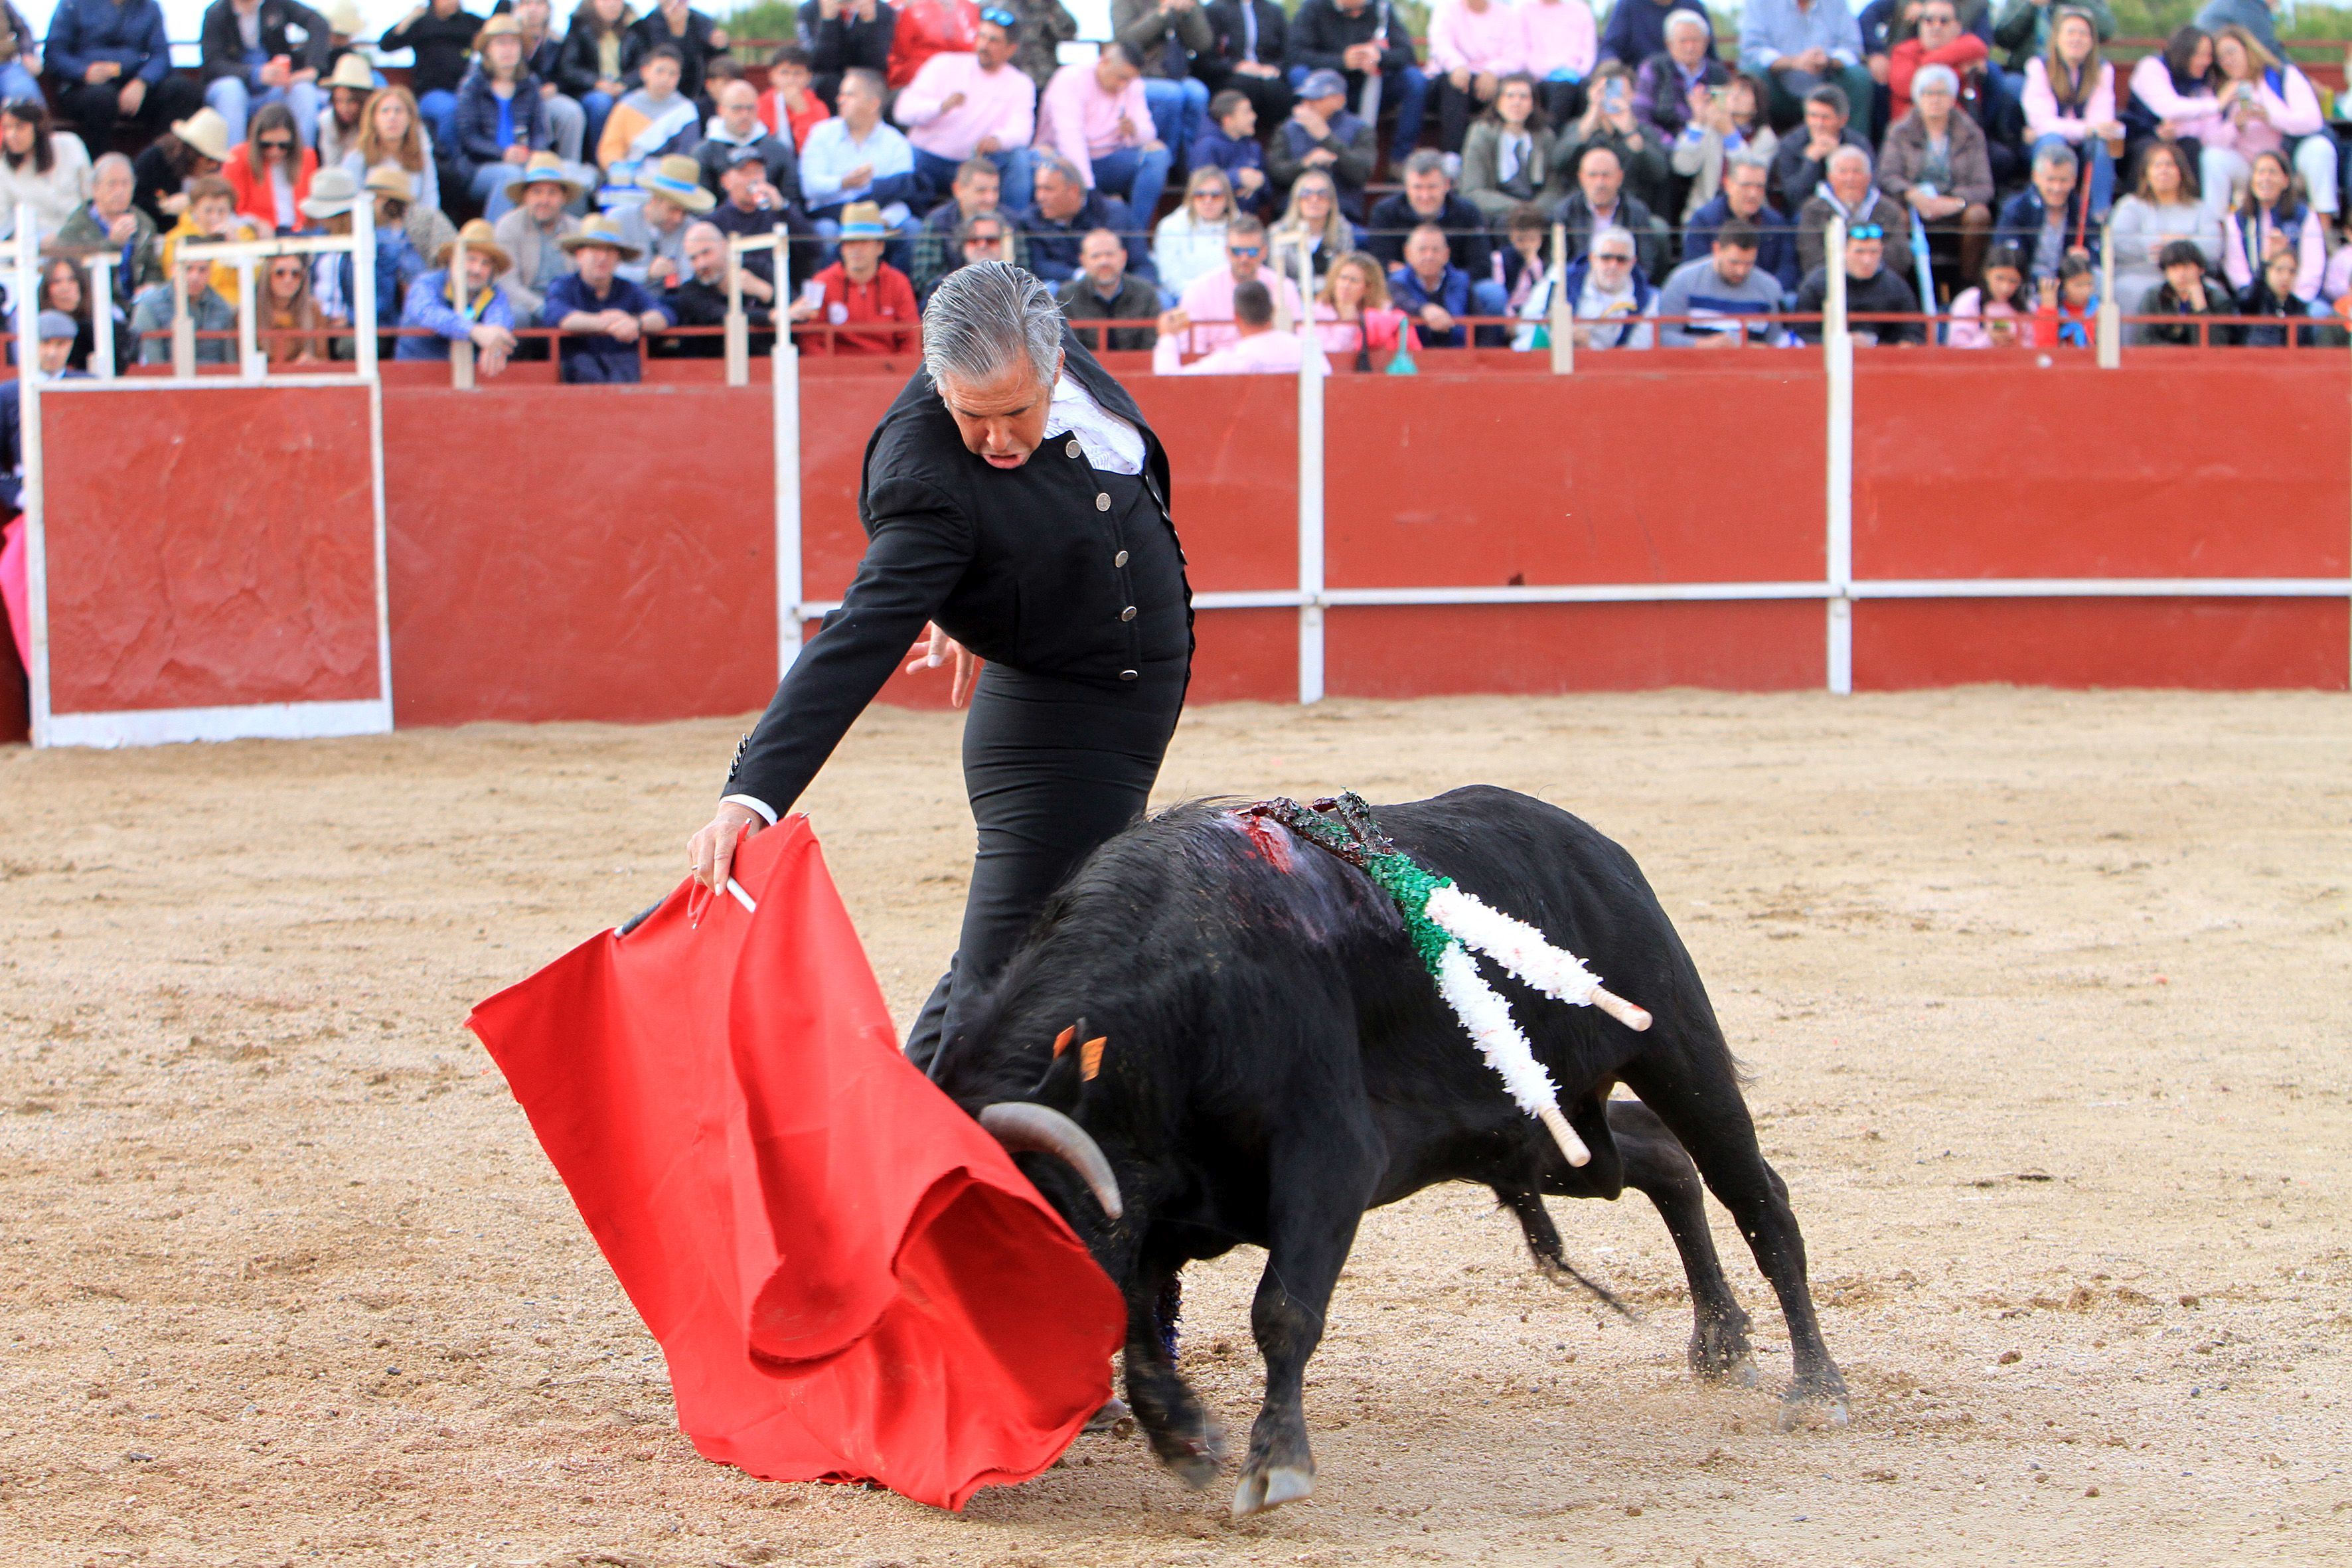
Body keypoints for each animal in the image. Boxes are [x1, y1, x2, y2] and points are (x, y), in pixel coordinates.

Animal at [926, 789, 1843, 1514]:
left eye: (1027, 1238)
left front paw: (1276, 1464)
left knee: (1757, 1197)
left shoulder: (1329, 1160)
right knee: (1657, 1161)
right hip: (1541, 1137)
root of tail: (1595, 844)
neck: (1176, 998)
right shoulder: (1159, 1203)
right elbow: (1141, 1321)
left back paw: (1816, 1387)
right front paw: (1188, 1438)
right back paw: (1721, 1342)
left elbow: (1281, 1309)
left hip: (1676, 1047)